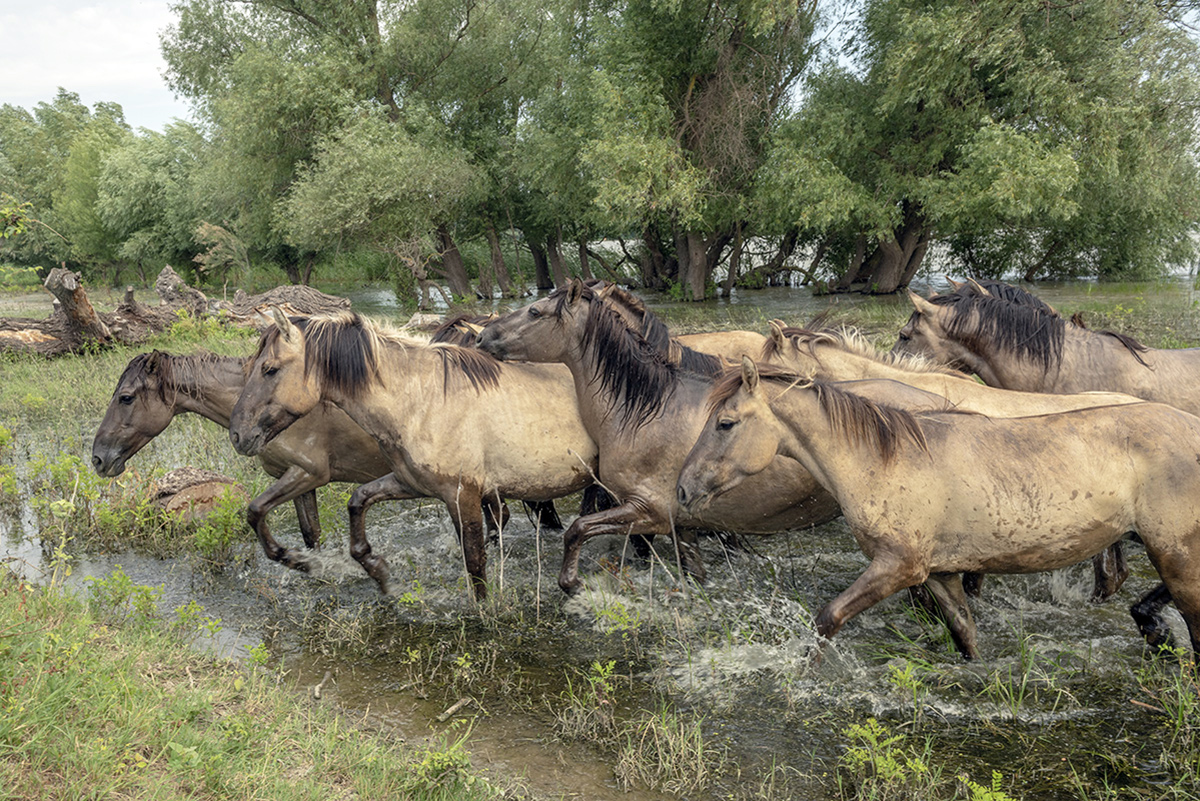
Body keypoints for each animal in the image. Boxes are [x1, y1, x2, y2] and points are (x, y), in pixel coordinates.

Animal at [225, 309, 600, 597]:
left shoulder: (463, 495)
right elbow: (357, 502)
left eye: (269, 369)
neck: (423, 402)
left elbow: (475, 565)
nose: (238, 434)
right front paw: (378, 572)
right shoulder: (412, 483)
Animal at [681, 359, 1200, 661]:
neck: (882, 461)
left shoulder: (899, 567)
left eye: (725, 423)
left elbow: (827, 618)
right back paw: (1152, 628)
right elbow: (966, 635)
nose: (684, 488)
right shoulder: (940, 574)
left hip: (1174, 552)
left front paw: (805, 667)